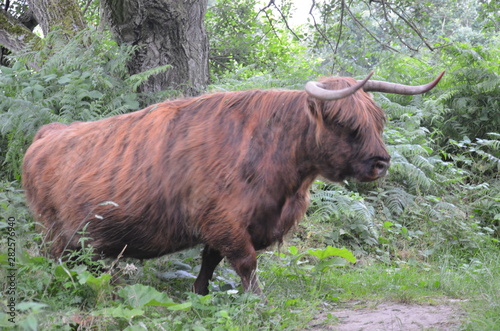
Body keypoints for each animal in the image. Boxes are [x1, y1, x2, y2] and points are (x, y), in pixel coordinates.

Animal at [23, 73, 444, 296]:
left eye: (378, 121)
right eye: (345, 123)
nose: (381, 162)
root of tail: (48, 133)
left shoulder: (225, 224)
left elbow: (210, 262)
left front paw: (201, 294)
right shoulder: (225, 220)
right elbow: (246, 263)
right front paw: (257, 299)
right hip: (55, 230)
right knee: (56, 261)